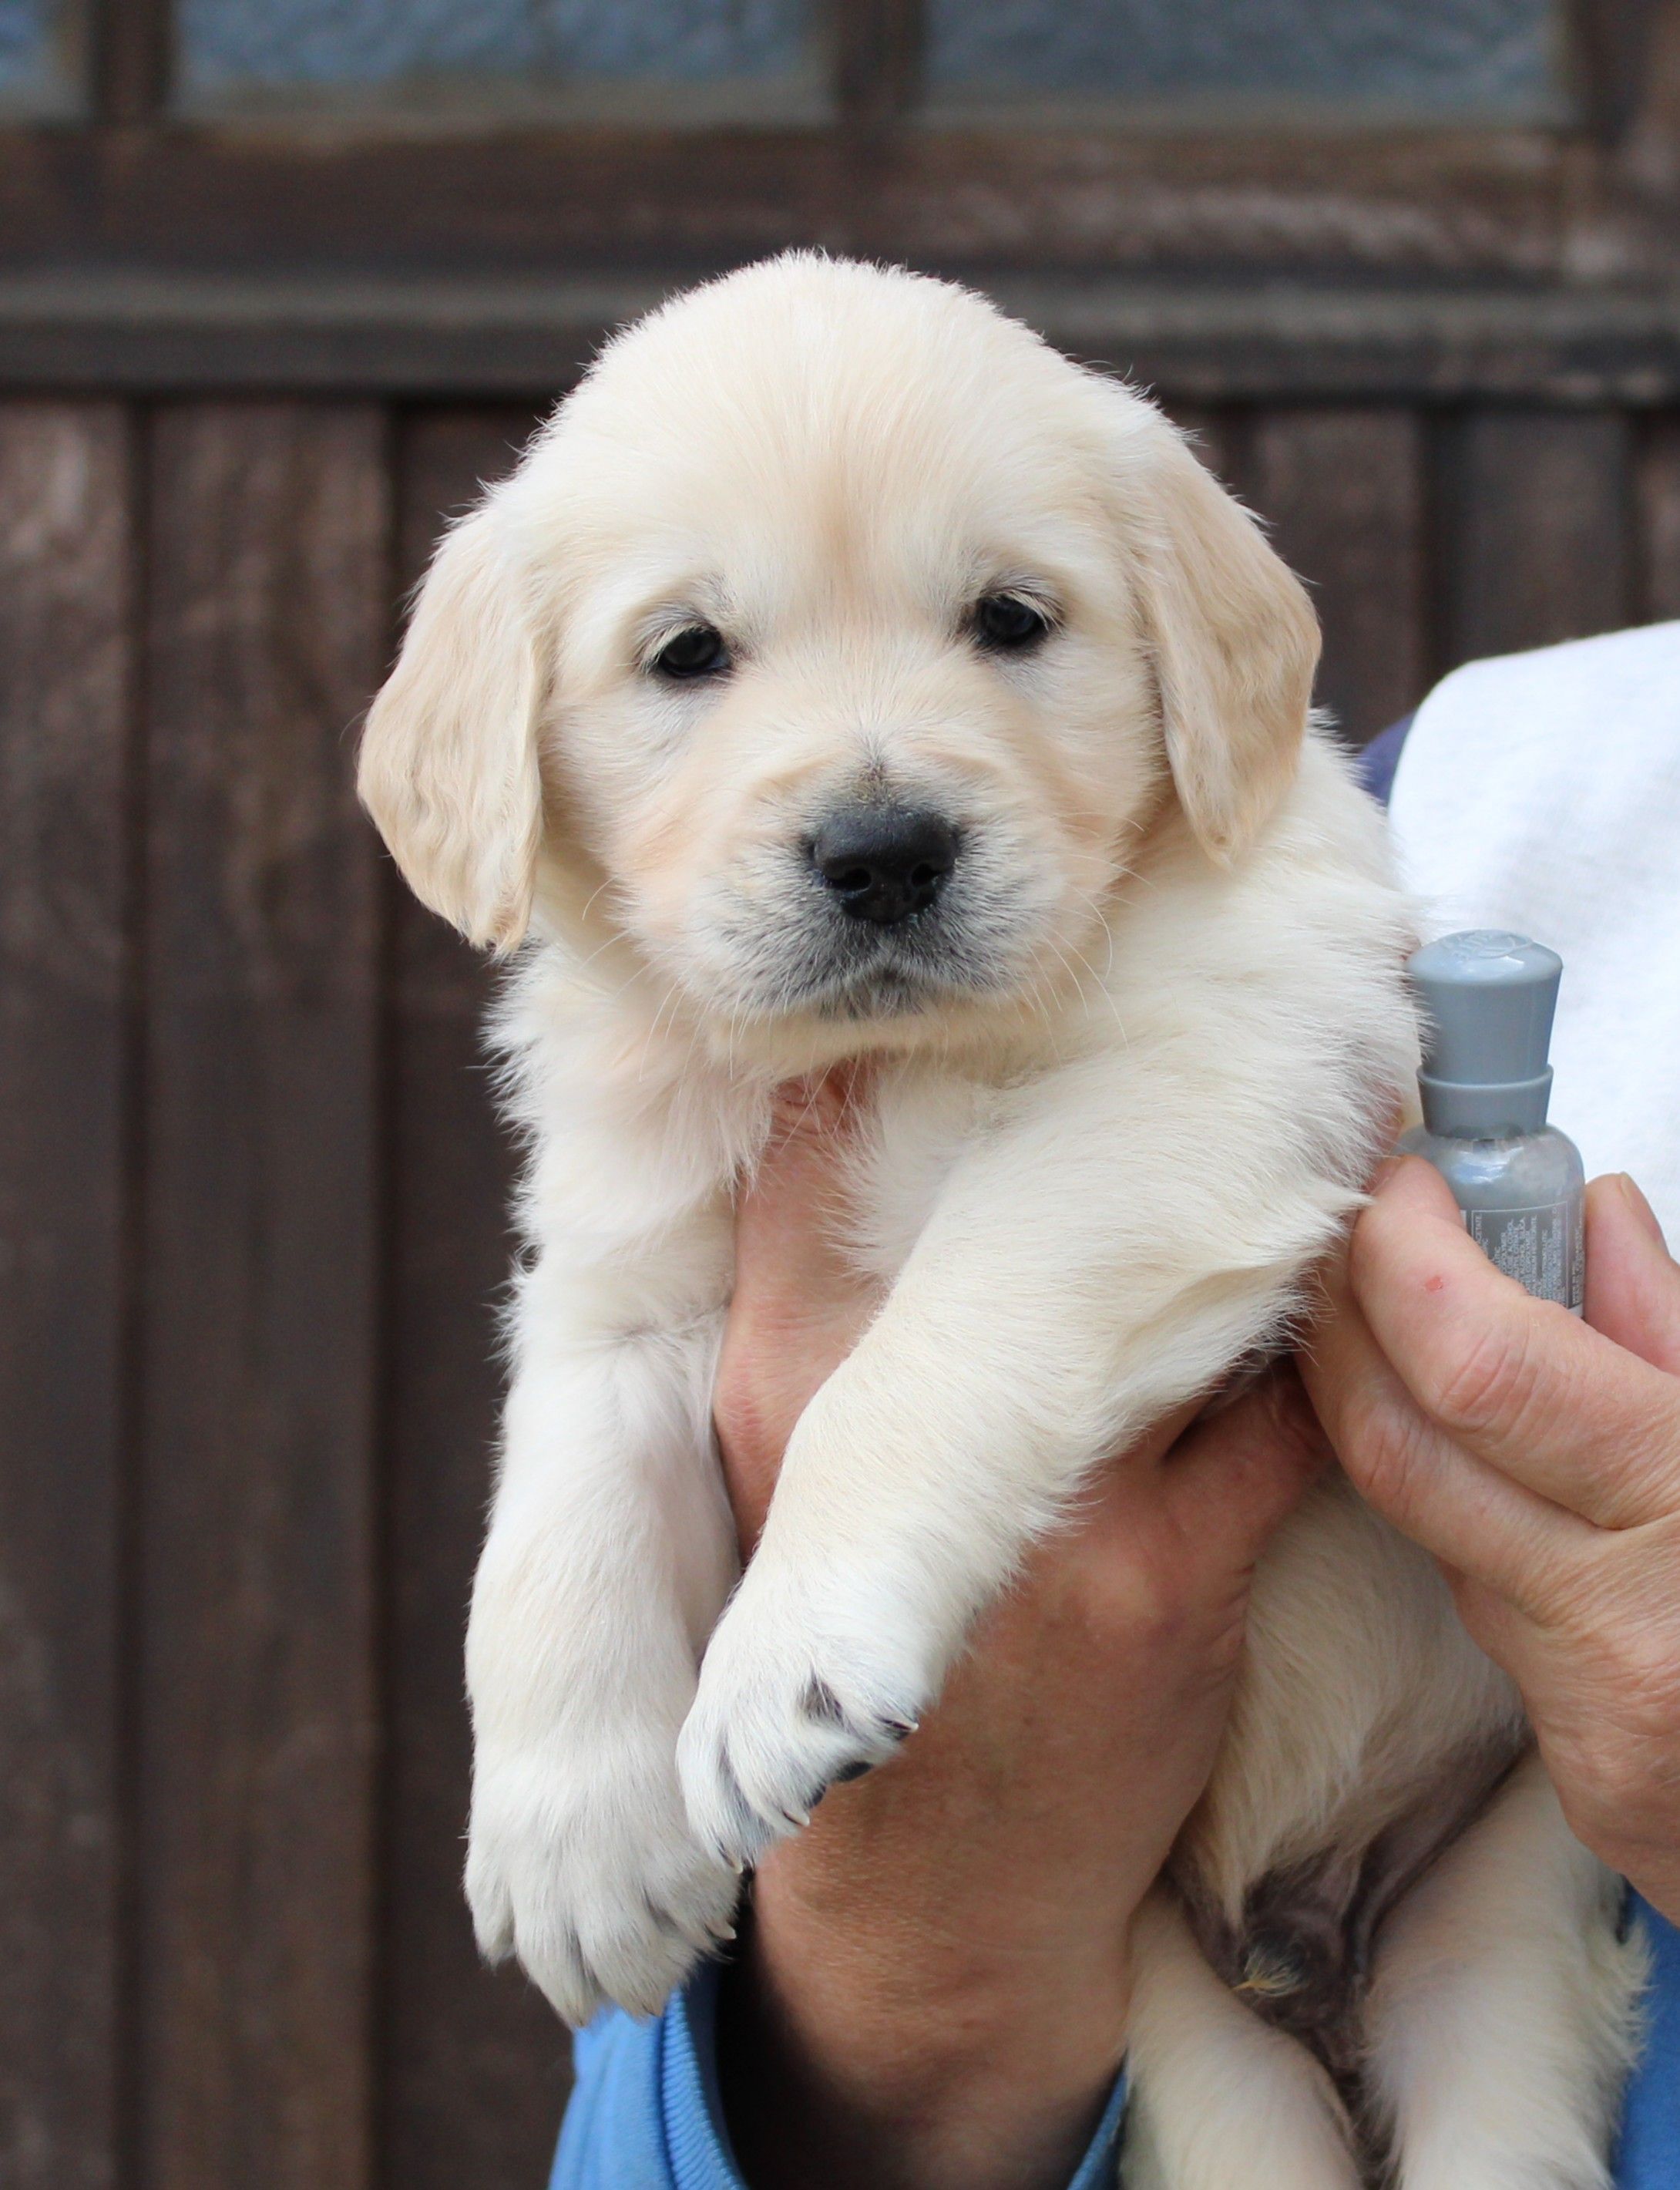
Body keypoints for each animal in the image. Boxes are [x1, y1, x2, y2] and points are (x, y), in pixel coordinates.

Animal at [359, 254, 1644, 2187]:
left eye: (1010, 620)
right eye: (687, 653)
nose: (884, 850)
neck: (893, 1052)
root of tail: (1311, 1942)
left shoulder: (1184, 1093)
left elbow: (913, 1363)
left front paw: (792, 1657)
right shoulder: (628, 1252)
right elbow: (556, 1508)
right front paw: (568, 1835)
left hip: (1497, 1916)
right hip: (1188, 2033)